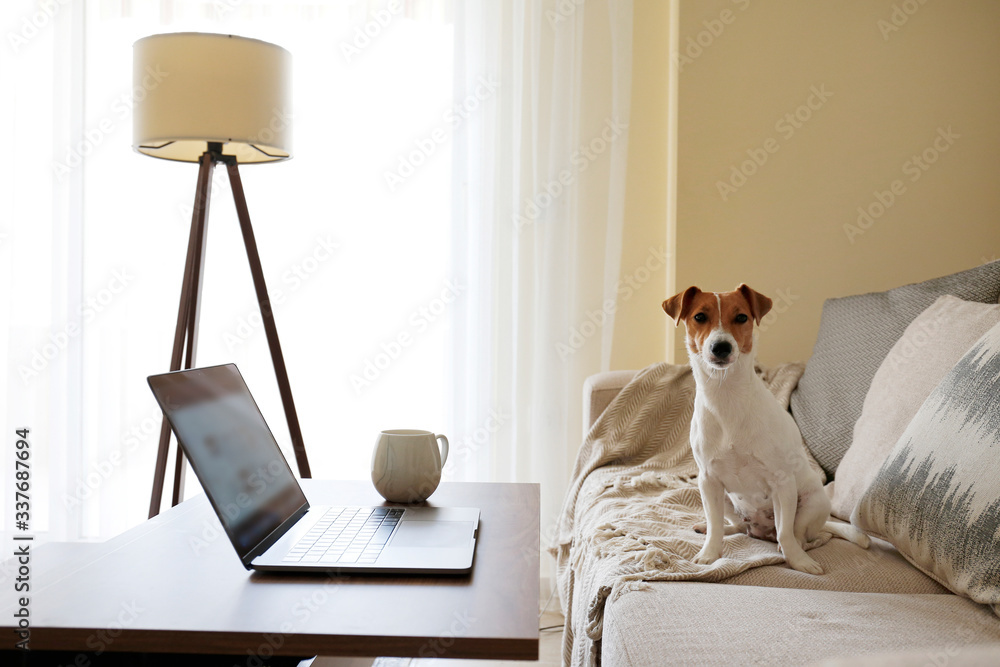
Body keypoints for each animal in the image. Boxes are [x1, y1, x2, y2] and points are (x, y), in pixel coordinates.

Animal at [664, 284, 868, 576]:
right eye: (700, 317)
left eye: (741, 317)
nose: (721, 347)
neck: (726, 396)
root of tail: (761, 531)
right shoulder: (708, 480)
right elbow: (715, 526)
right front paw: (709, 553)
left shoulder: (782, 482)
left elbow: (786, 531)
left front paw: (799, 562)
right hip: (722, 498)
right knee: (738, 526)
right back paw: (717, 528)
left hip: (812, 502)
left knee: (801, 534)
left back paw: (798, 547)